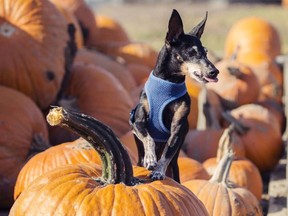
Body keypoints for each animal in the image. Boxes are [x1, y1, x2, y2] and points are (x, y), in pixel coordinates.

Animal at [129, 9, 218, 182]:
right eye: (191, 52)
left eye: (206, 52)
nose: (215, 71)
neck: (168, 83)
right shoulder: (137, 121)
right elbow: (148, 137)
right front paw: (150, 159)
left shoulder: (177, 129)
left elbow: (167, 152)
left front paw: (158, 171)